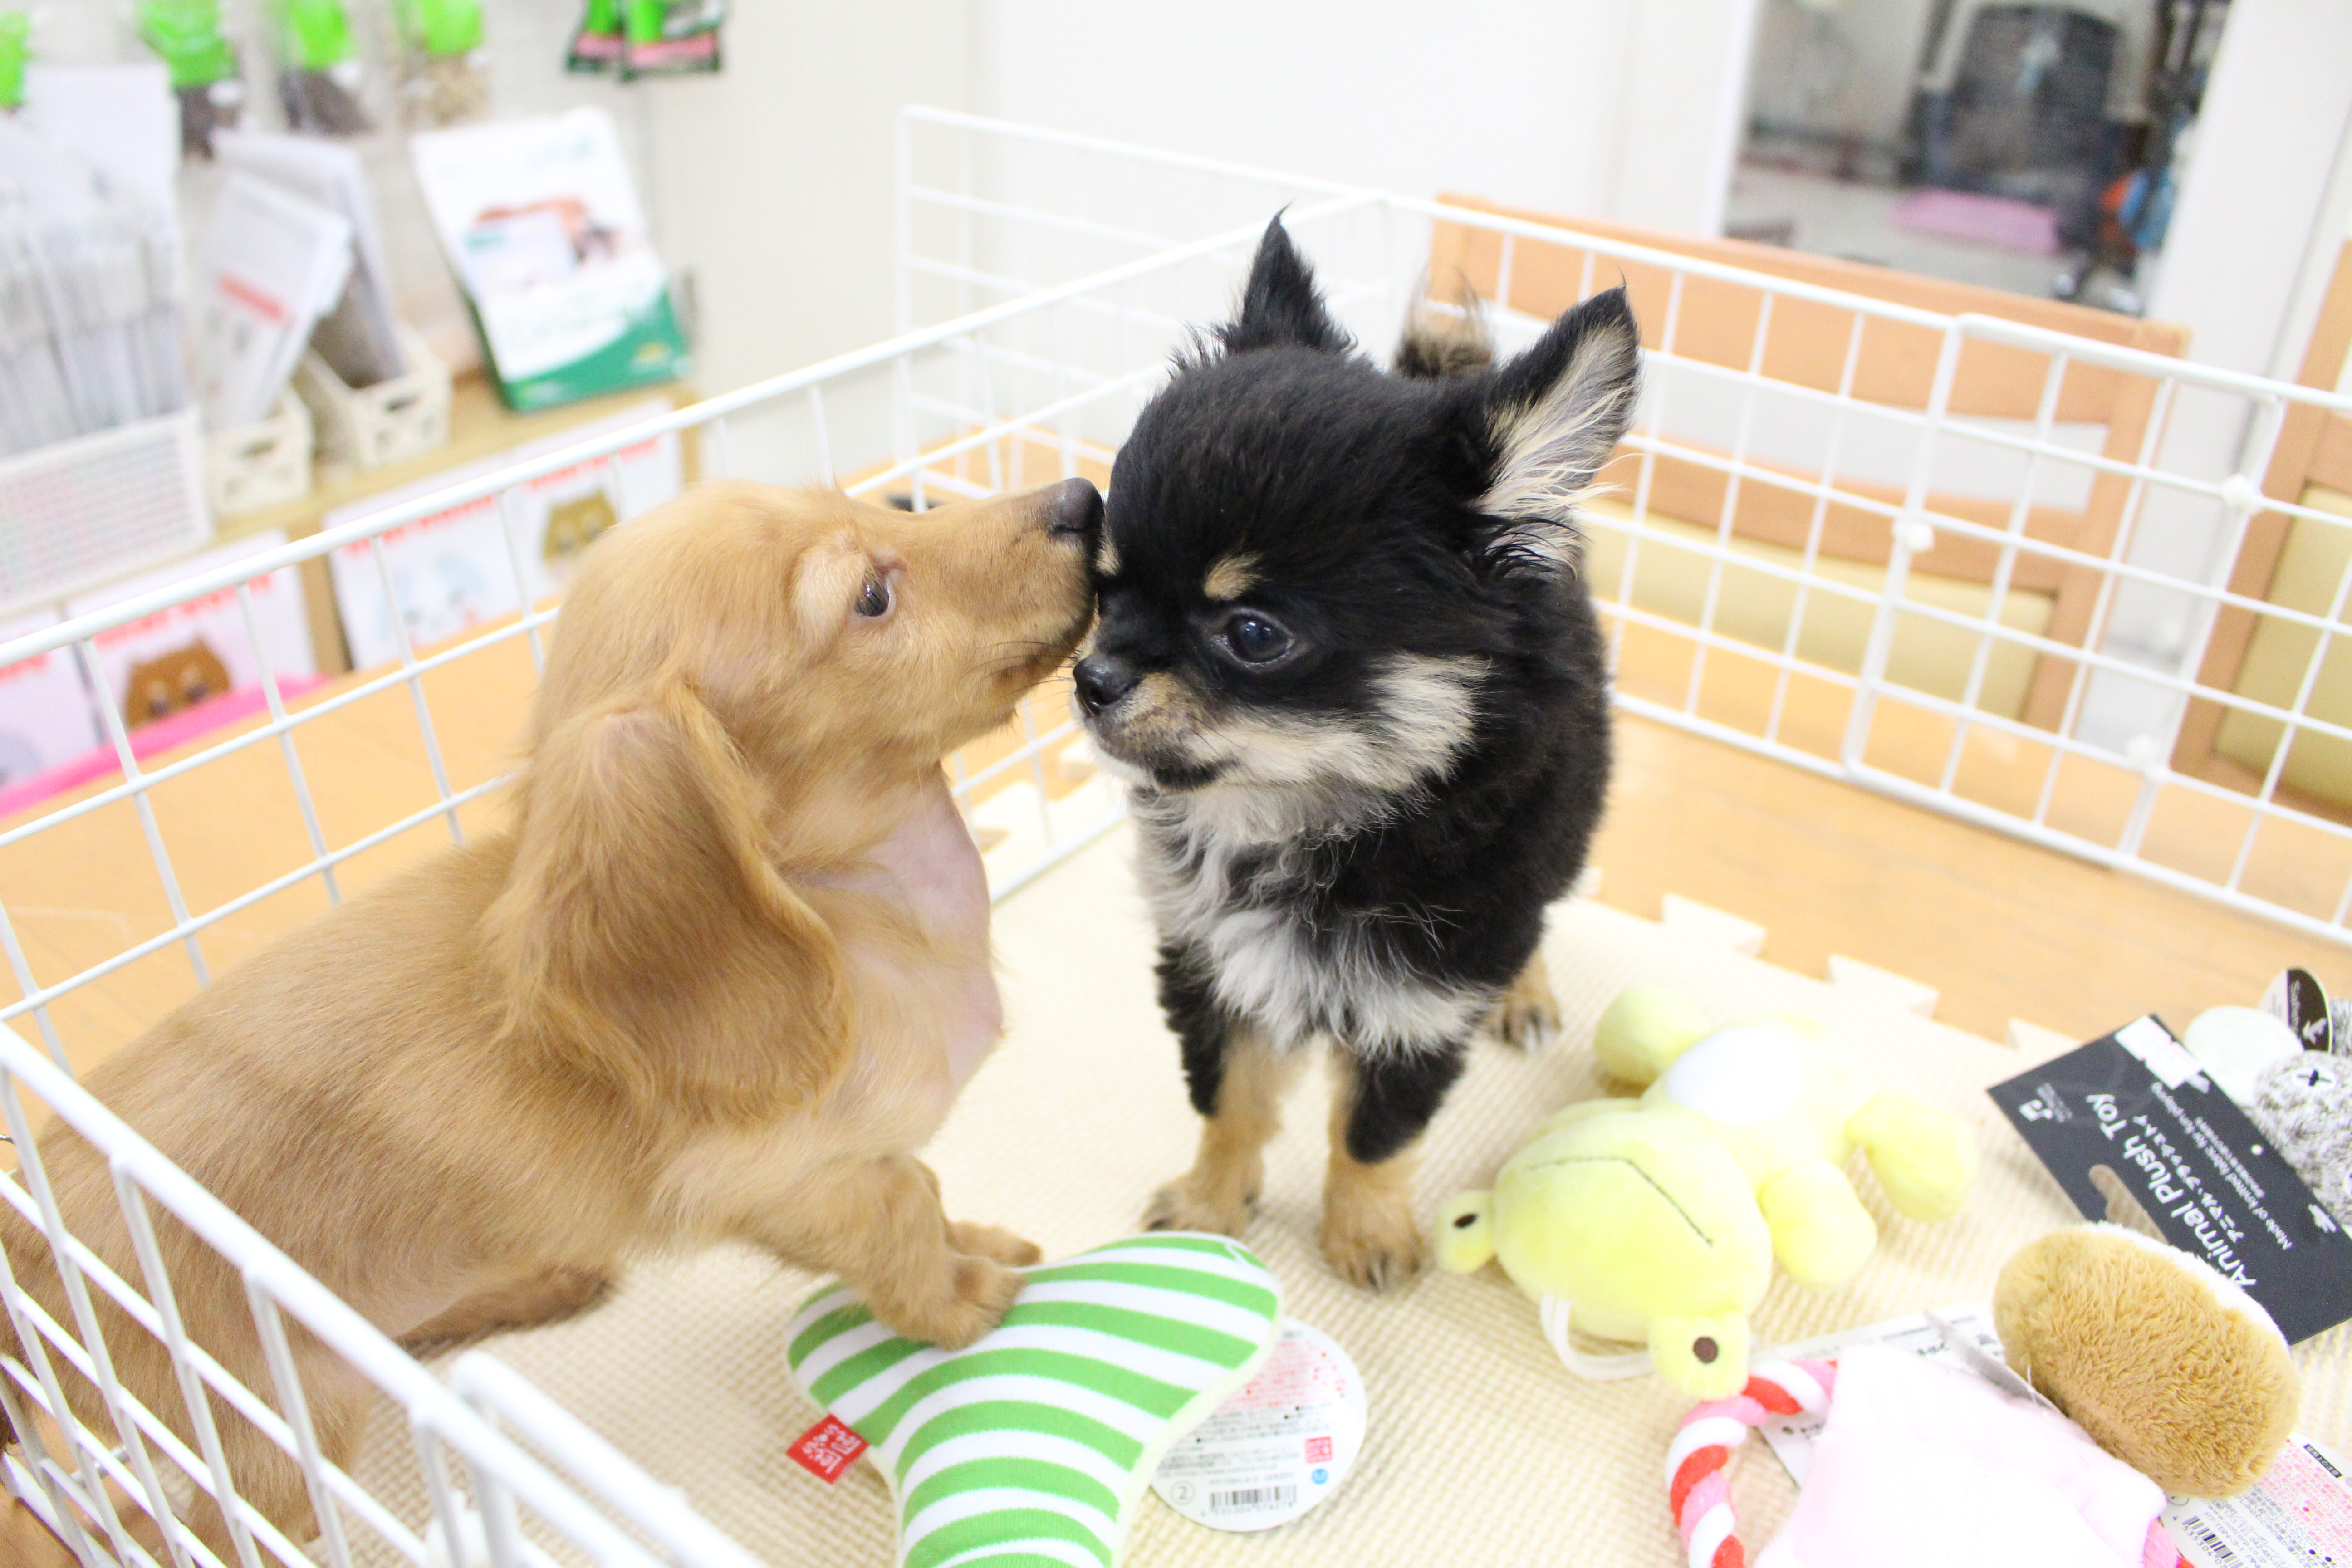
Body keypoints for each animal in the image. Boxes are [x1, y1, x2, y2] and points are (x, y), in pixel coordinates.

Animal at [2, 472, 1101, 1551]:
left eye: (894, 508)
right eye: (869, 597)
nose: (1084, 499)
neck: (871, 917)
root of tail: (27, 1227)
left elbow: (927, 1188)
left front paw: (976, 1244)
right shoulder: (792, 1181)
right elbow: (905, 1212)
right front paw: (958, 1302)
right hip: (270, 1435)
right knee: (180, 1517)